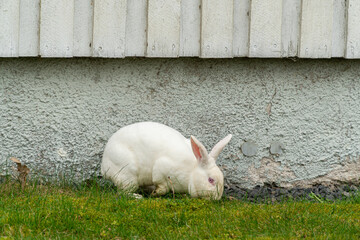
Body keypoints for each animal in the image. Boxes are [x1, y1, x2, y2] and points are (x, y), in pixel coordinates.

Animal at [100, 122, 232, 199]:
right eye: (211, 180)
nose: (216, 197)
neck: (191, 172)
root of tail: (104, 166)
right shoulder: (161, 171)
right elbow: (162, 187)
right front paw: (155, 193)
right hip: (127, 175)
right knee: (123, 192)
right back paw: (137, 196)